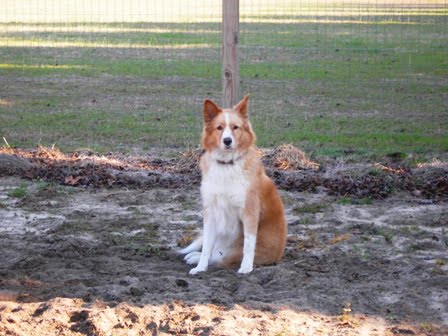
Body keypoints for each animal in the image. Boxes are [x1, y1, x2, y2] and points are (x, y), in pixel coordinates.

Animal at [179, 94, 288, 272]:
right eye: (219, 128)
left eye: (235, 127)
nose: (227, 141)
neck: (227, 164)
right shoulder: (211, 212)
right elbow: (207, 246)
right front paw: (200, 268)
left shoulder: (249, 212)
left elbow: (248, 244)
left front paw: (246, 268)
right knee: (214, 252)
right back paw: (195, 257)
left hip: (238, 251)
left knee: (221, 257)